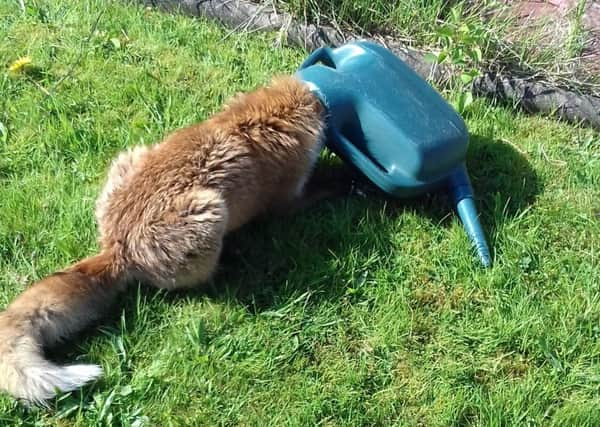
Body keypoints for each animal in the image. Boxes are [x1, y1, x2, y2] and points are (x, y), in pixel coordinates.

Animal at [0, 75, 342, 406]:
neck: (255, 119)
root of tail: (116, 247)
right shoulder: (287, 200)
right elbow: (309, 195)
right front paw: (340, 182)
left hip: (130, 156)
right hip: (210, 212)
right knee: (196, 282)